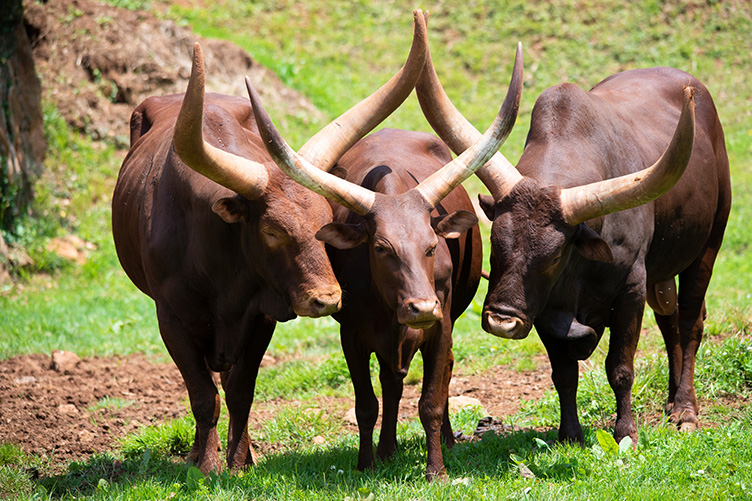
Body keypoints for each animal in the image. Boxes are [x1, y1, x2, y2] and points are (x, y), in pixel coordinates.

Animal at [111, 11, 429, 475]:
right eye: (272, 231)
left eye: (326, 222)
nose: (327, 299)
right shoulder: (170, 319)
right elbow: (202, 396)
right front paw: (207, 465)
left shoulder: (260, 315)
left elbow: (240, 391)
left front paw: (239, 462)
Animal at [243, 43, 523, 480]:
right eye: (380, 248)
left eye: (432, 246)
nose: (421, 307)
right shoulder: (352, 335)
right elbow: (366, 403)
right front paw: (365, 463)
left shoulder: (441, 327)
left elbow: (431, 401)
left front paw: (436, 470)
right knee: (391, 382)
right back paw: (388, 449)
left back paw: (445, 442)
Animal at [417, 51, 731, 445]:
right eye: (494, 241)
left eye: (554, 255)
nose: (502, 320)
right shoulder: (541, 307)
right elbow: (563, 373)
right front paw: (570, 434)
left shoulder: (631, 289)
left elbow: (620, 368)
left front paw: (626, 433)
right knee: (669, 321)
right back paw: (673, 403)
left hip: (708, 245)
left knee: (689, 322)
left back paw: (686, 411)